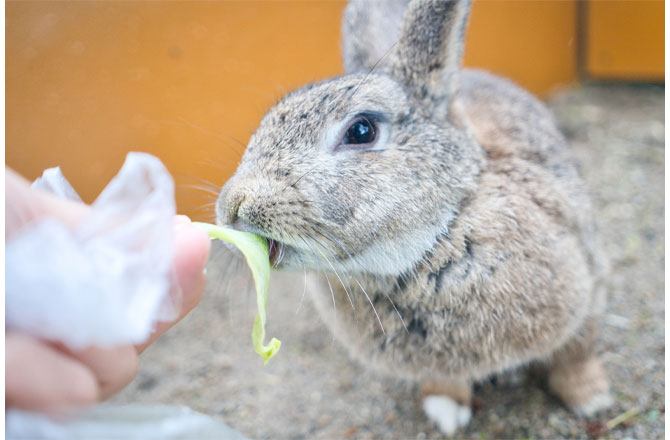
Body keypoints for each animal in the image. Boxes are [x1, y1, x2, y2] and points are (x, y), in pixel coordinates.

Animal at [215, 0, 616, 434]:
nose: (233, 206)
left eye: (361, 131)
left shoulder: (588, 286)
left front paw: (592, 400)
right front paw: (447, 412)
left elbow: (575, 354)